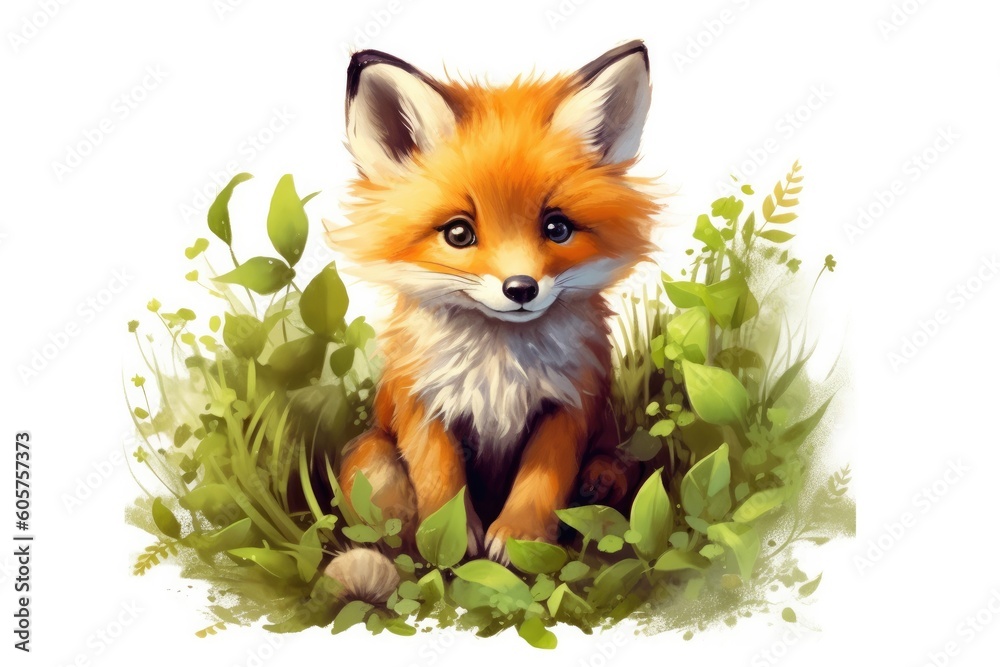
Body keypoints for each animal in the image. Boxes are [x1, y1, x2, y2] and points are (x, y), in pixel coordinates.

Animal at [322, 40, 660, 604]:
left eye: (557, 228)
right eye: (459, 233)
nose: (521, 289)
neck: (500, 363)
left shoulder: (571, 401)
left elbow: (544, 479)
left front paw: (521, 538)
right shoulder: (424, 402)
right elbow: (440, 484)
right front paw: (451, 544)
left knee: (617, 465)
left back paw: (599, 481)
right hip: (372, 456)